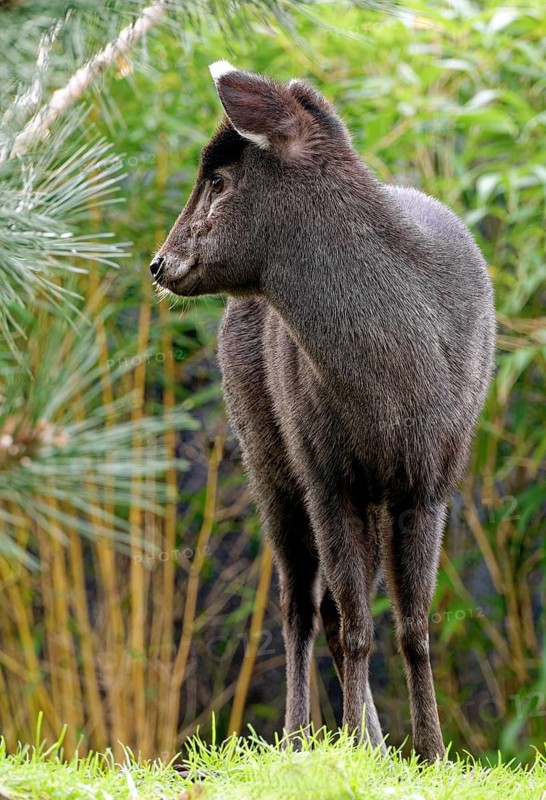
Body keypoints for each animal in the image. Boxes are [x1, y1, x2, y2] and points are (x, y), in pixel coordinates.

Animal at [149, 62, 496, 763]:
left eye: (218, 180)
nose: (160, 263)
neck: (392, 383)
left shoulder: (430, 481)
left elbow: (414, 625)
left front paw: (431, 753)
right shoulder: (326, 471)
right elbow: (356, 623)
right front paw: (357, 743)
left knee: (334, 609)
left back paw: (371, 743)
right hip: (267, 455)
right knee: (300, 606)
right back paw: (300, 738)